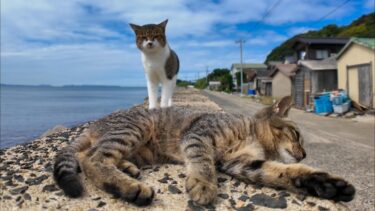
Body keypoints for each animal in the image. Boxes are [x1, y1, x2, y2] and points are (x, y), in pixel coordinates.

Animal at [53, 97, 356, 206]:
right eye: (296, 135)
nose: (304, 154)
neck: (252, 133)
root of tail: (96, 123)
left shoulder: (241, 163)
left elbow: (283, 172)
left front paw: (324, 184)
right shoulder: (199, 135)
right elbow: (203, 160)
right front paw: (203, 184)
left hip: (140, 148)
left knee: (85, 156)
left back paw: (126, 171)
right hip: (133, 129)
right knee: (93, 158)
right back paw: (128, 187)